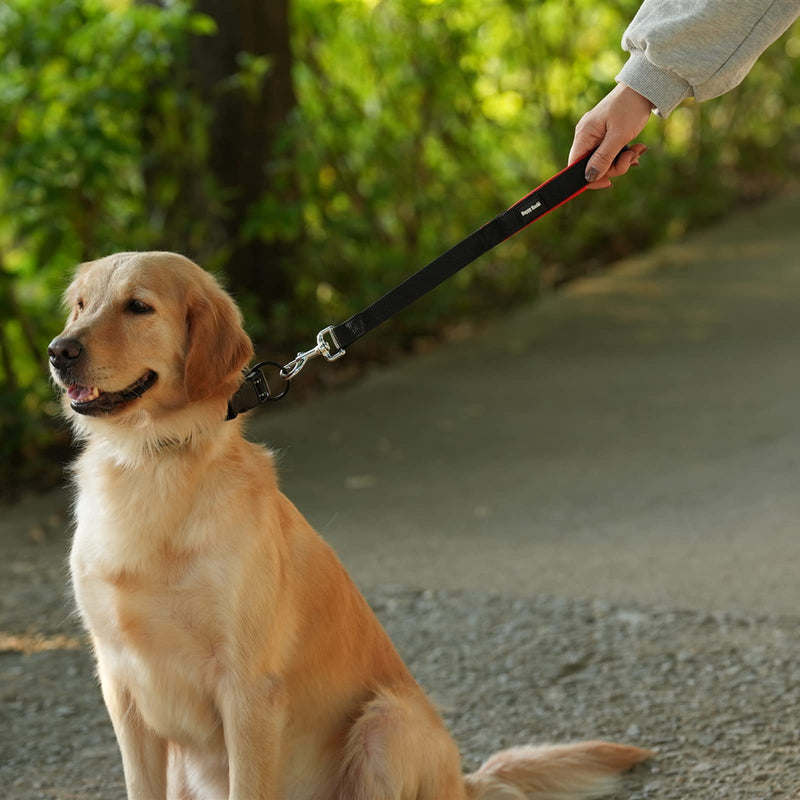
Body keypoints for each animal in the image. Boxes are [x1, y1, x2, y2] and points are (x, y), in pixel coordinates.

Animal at [48, 252, 648, 800]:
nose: (58, 351)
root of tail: (463, 783)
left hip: (386, 722)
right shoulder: (121, 684)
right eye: (80, 305)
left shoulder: (248, 687)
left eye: (138, 306)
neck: (150, 462)